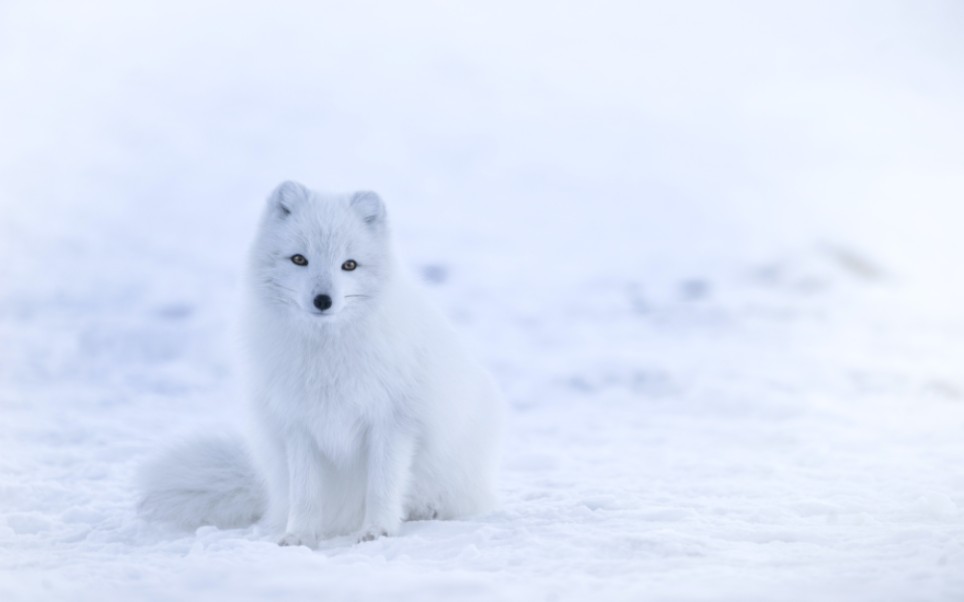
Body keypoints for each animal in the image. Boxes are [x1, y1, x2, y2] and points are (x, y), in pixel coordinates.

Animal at [143, 182, 508, 544]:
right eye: (299, 259)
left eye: (349, 265)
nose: (323, 300)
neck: (326, 354)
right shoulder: (298, 425)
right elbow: (305, 492)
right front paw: (300, 536)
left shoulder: (392, 422)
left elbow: (382, 486)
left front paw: (377, 530)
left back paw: (427, 510)